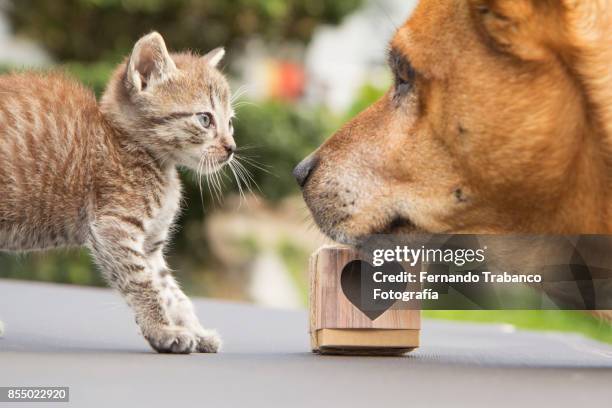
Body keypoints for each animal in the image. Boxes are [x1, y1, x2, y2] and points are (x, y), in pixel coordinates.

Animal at [0, 31, 237, 352]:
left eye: (231, 123)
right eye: (205, 119)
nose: (231, 148)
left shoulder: (151, 245)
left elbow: (171, 292)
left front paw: (196, 331)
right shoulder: (114, 228)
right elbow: (143, 284)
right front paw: (163, 330)